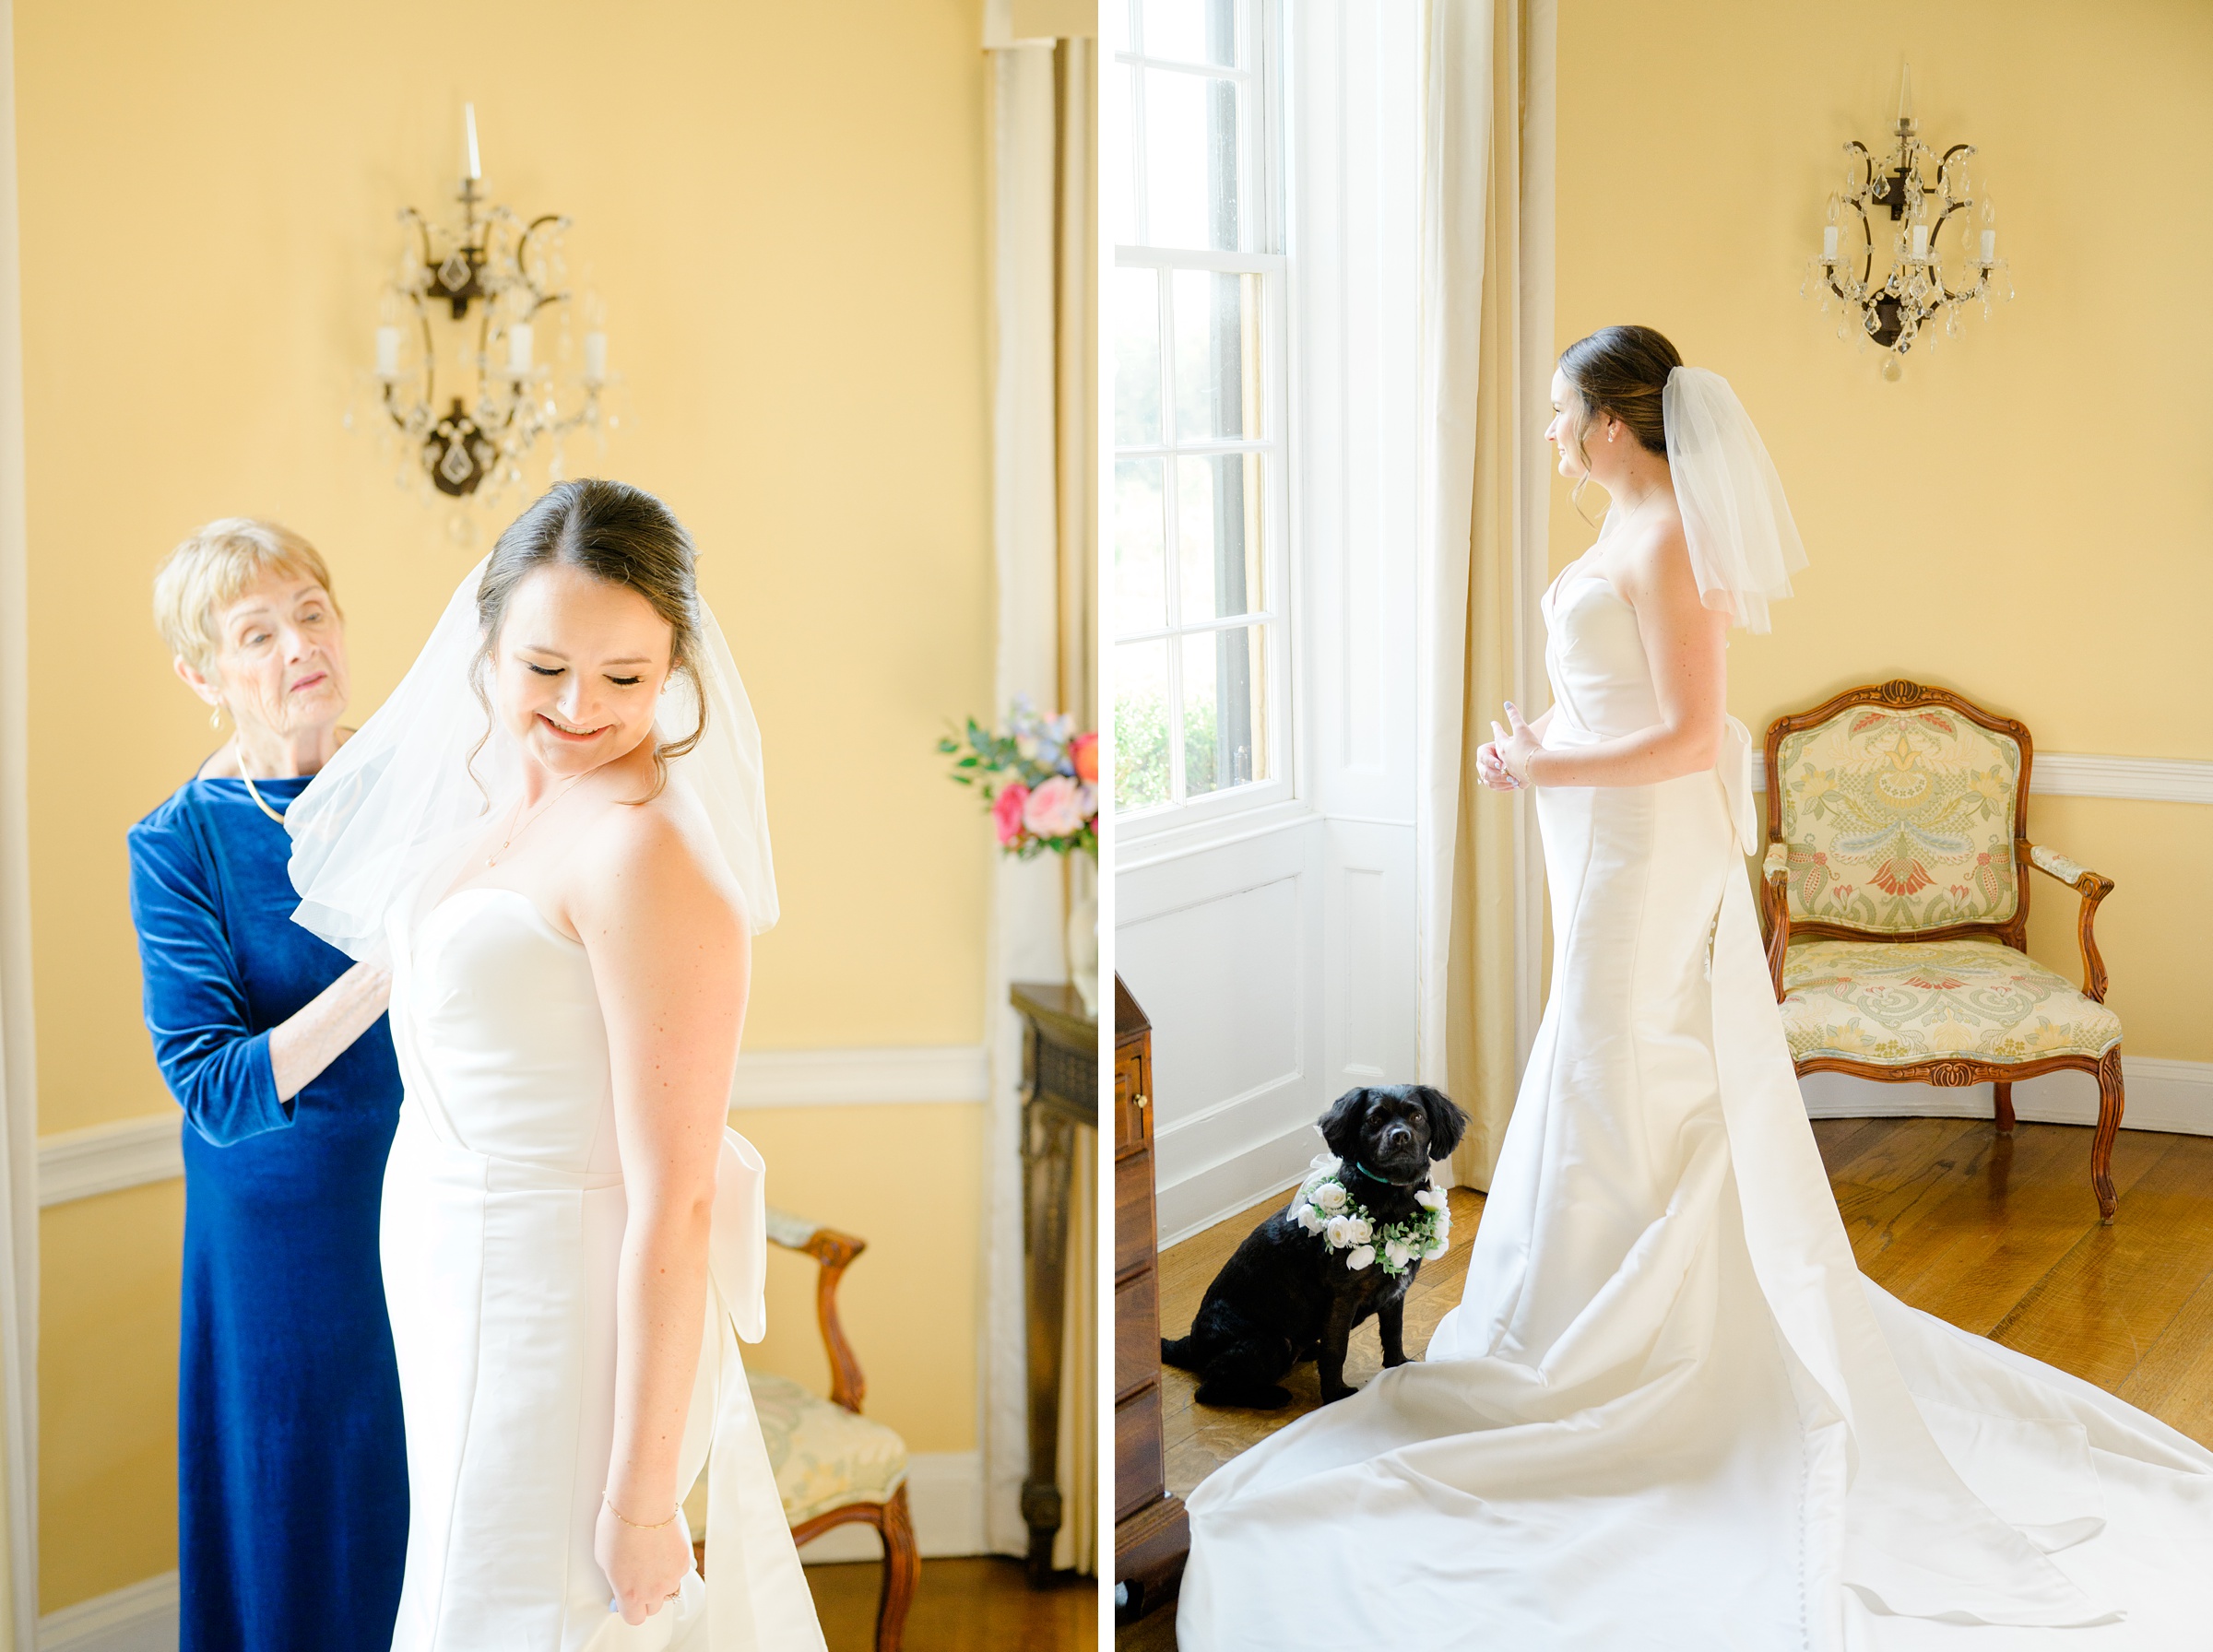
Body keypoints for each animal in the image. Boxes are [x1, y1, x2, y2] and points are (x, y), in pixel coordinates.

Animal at [1159, 1083, 1469, 1406]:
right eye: (1374, 1120)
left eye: (1417, 1116)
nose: (1400, 1135)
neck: (1392, 1197)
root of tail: (1191, 1346)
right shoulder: (1343, 1298)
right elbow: (1336, 1351)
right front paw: (1335, 1397)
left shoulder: (1395, 1293)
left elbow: (1393, 1334)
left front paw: (1399, 1369)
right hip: (1270, 1343)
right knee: (1207, 1391)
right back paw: (1271, 1397)